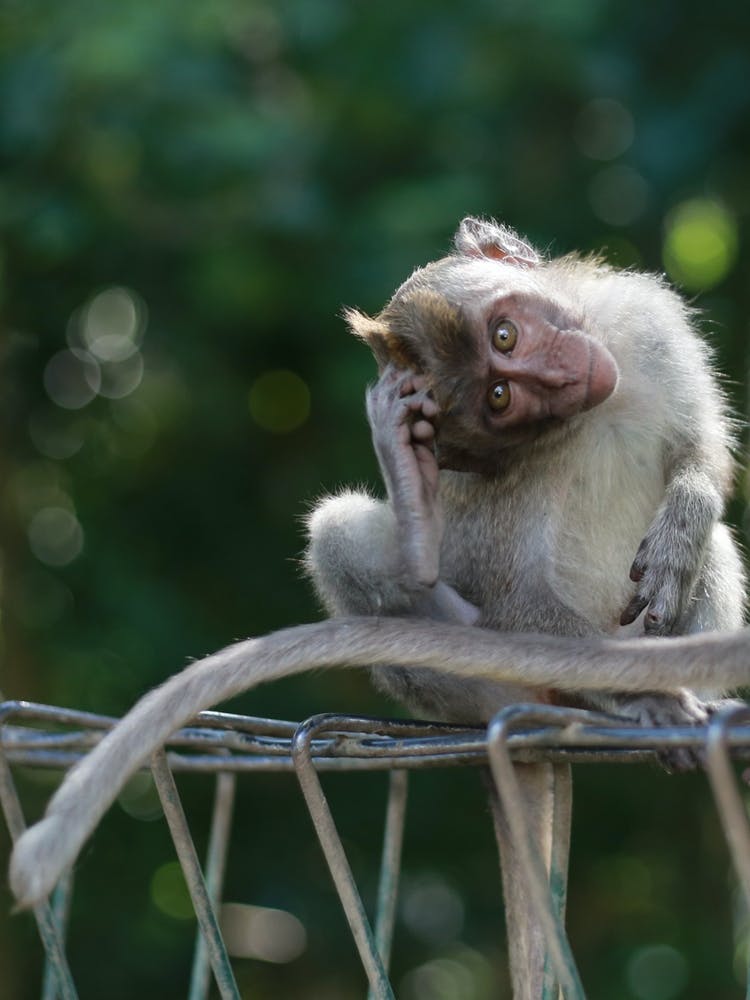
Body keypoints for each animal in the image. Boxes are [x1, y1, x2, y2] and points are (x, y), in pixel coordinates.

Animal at [8, 217, 749, 919]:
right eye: (502, 398)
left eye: (505, 337)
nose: (561, 379)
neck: (598, 408)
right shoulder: (514, 482)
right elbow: (513, 601)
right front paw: (644, 695)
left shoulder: (646, 324)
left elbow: (700, 455)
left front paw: (683, 518)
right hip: (479, 692)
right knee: (342, 537)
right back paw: (425, 548)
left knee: (712, 549)